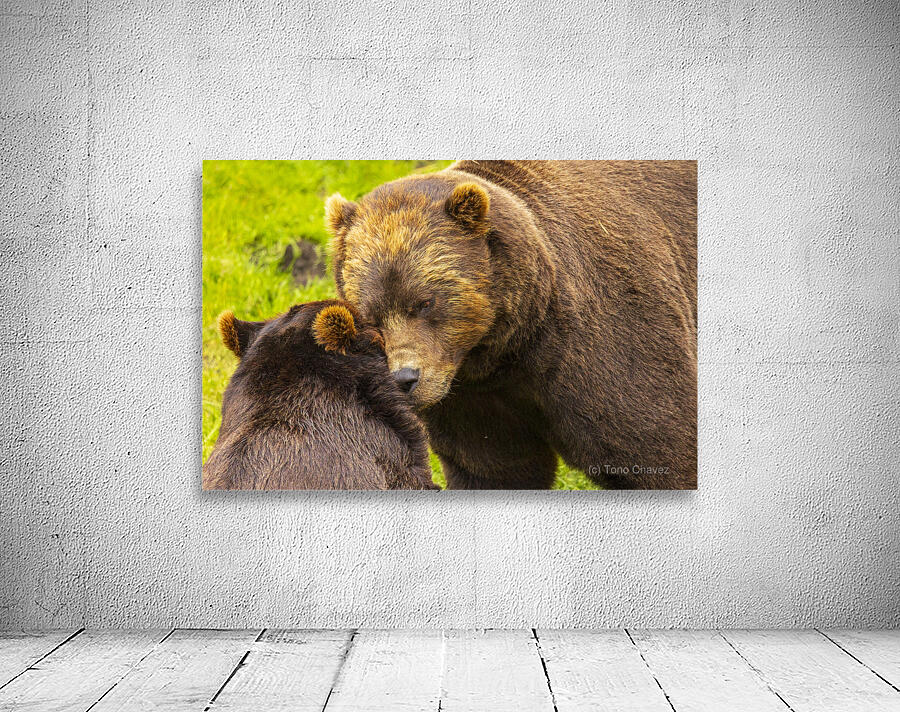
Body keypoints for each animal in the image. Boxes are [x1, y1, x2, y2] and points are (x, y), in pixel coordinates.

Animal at [325, 160, 697, 489]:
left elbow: (656, 446)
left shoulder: (608, 338)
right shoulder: (472, 398)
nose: (404, 379)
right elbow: (496, 469)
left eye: (424, 302)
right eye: (371, 315)